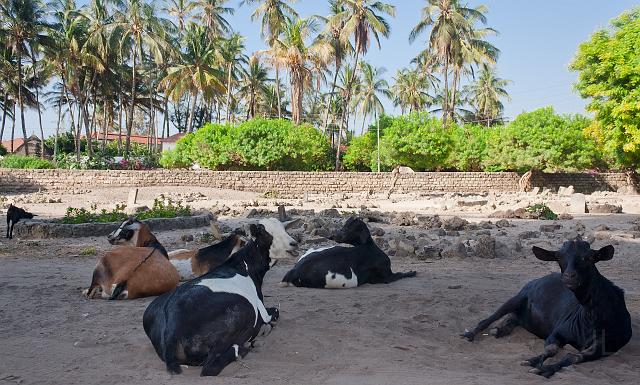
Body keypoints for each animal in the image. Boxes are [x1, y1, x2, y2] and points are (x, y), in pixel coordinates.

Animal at [462, 240, 632, 378]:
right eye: (559, 257)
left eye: (590, 257)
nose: (569, 277)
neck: (593, 316)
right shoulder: (558, 331)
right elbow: (551, 349)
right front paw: (532, 361)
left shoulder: (604, 346)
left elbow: (573, 357)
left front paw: (544, 369)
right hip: (519, 296)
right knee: (492, 316)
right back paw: (472, 333)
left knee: (514, 317)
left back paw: (499, 330)